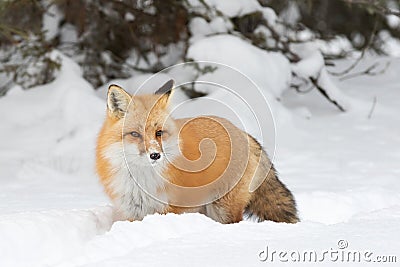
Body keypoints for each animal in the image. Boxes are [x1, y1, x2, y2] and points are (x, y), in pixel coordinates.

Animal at [96, 79, 296, 224]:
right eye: (135, 134)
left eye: (159, 133)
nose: (155, 155)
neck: (141, 181)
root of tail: (243, 132)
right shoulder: (134, 213)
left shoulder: (170, 210)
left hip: (223, 209)